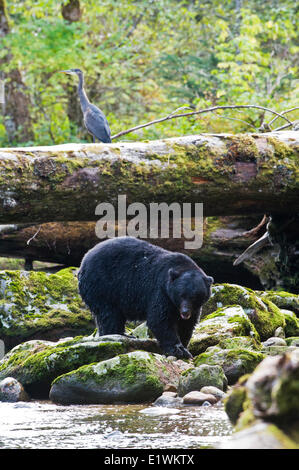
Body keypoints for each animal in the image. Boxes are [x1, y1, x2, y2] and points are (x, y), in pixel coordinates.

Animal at [77, 237, 213, 358]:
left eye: (195, 297)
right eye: (181, 295)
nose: (185, 312)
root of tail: (83, 261)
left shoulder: (192, 307)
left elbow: (187, 325)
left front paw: (184, 346)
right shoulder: (160, 291)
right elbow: (160, 319)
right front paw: (178, 349)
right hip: (103, 286)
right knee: (109, 315)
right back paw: (117, 334)